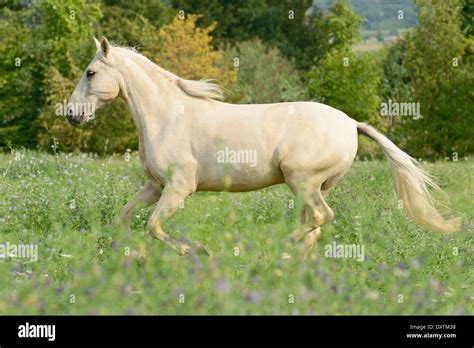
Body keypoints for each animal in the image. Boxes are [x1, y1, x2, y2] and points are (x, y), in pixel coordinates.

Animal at [65, 38, 460, 256]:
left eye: (90, 73)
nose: (71, 114)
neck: (166, 116)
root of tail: (350, 123)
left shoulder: (178, 189)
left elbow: (153, 227)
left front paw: (197, 250)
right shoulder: (154, 186)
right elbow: (126, 216)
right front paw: (121, 255)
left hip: (303, 181)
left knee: (321, 219)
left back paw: (277, 248)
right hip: (313, 186)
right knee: (315, 226)